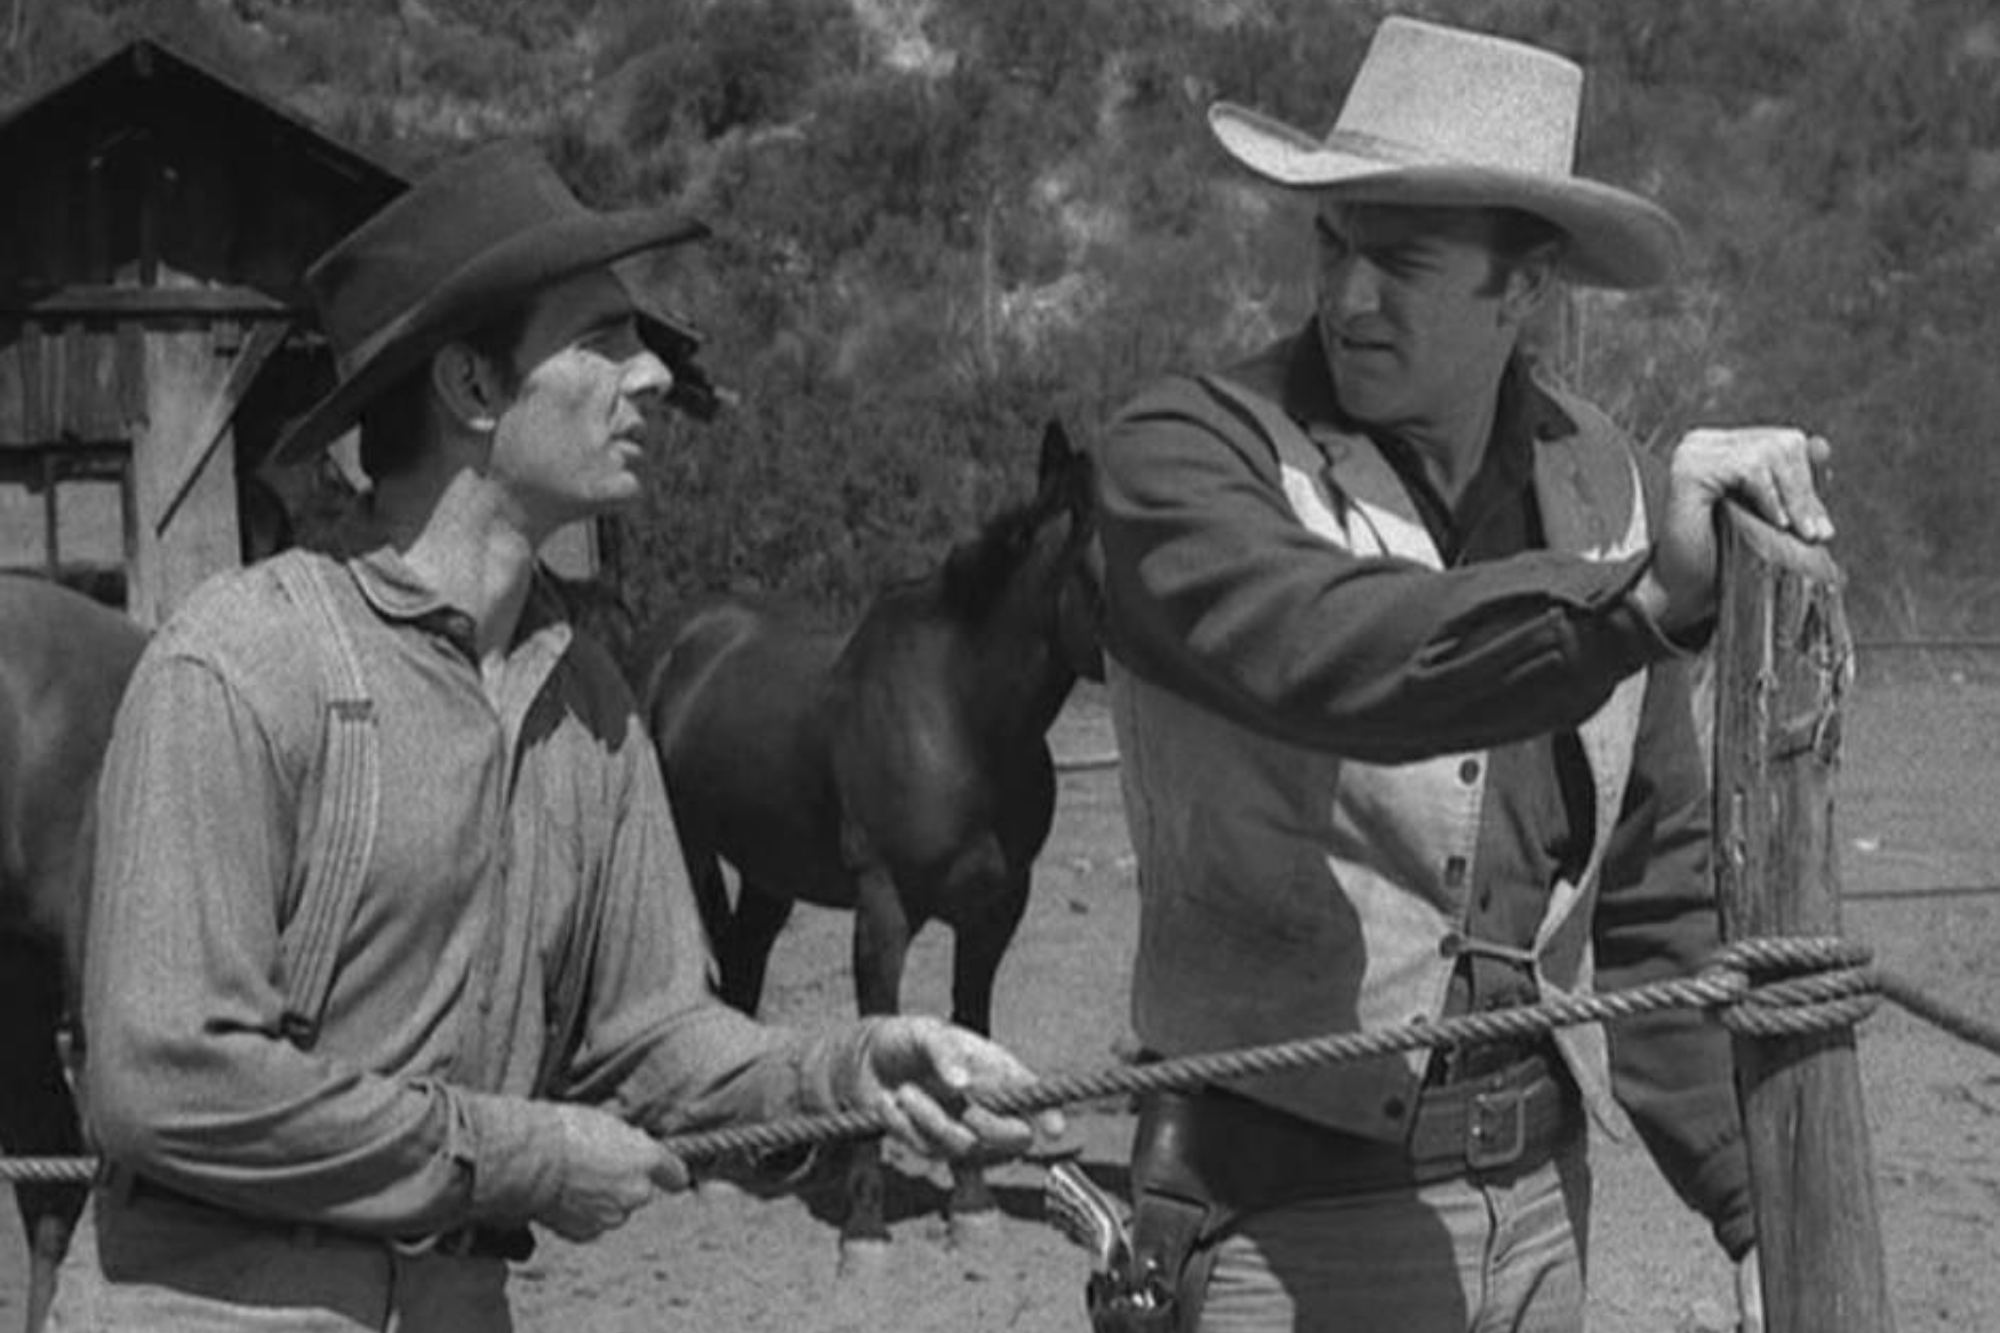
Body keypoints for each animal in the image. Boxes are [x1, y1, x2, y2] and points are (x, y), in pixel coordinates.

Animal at [640, 416, 1104, 1256]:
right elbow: (878, 1042)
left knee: (746, 963)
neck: (962, 716)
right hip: (690, 847)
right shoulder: (883, 908)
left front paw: (972, 1204)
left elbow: (967, 1037)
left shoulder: (995, 912)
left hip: (770, 871)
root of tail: (676, 642)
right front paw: (864, 1222)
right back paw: (719, 1167)